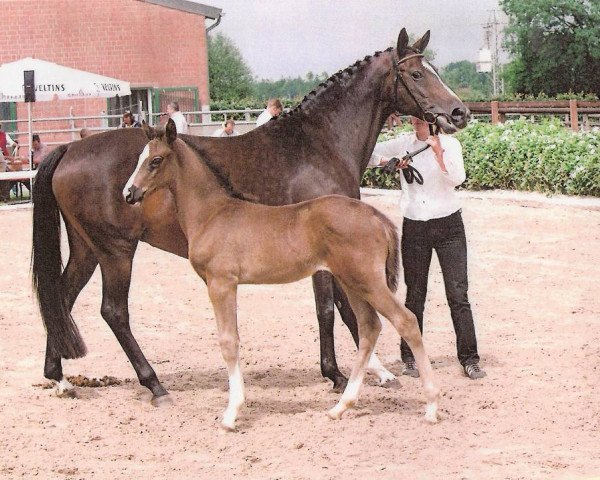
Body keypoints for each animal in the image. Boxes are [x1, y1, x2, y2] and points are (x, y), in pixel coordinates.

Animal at [126, 121, 440, 432]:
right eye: (139, 157)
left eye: (156, 160)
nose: (129, 193)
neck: (212, 214)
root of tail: (377, 216)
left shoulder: (221, 283)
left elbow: (228, 341)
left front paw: (231, 414)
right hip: (352, 281)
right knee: (369, 327)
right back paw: (340, 407)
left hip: (368, 281)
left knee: (405, 320)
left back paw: (431, 406)